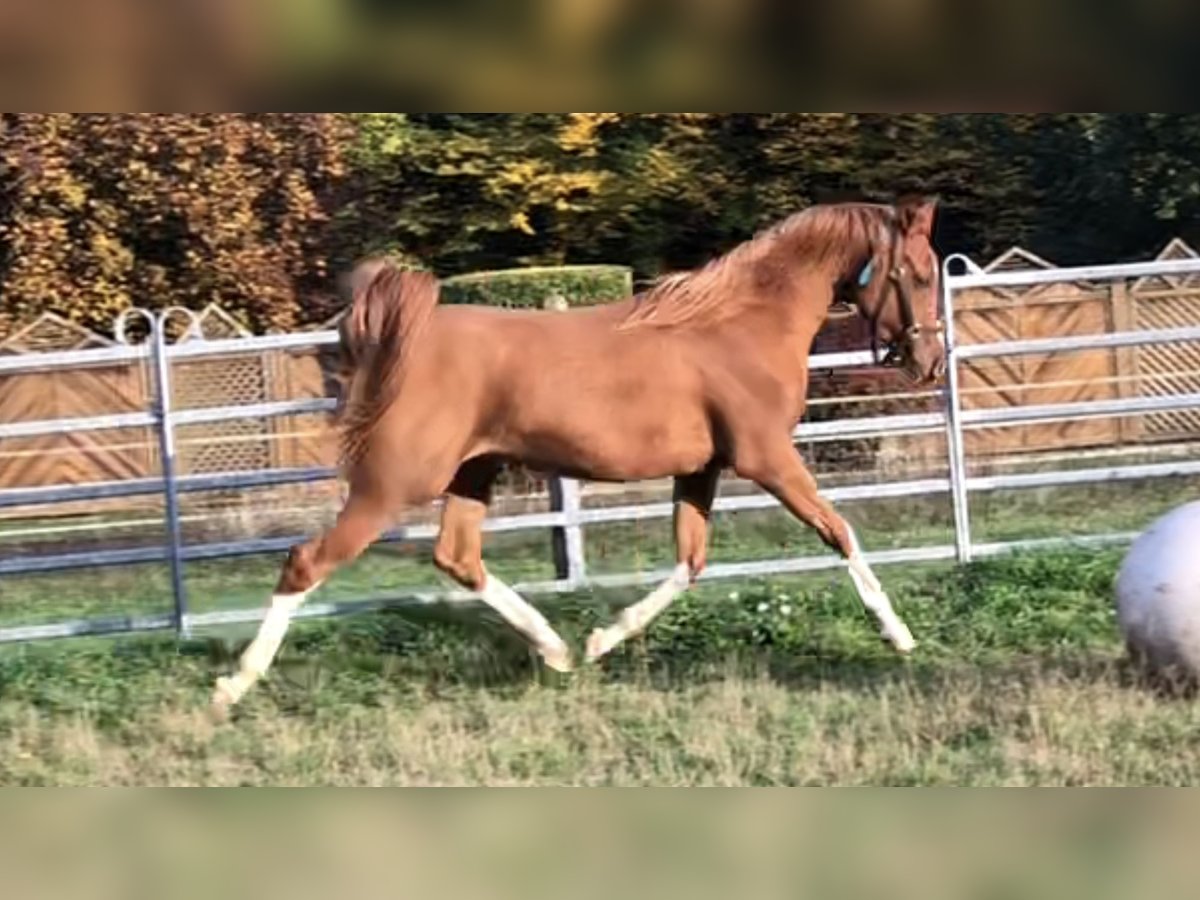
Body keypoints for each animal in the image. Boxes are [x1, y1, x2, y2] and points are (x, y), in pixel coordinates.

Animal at [213, 195, 945, 710]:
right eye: (916, 274)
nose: (930, 362)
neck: (740, 323)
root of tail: (409, 332)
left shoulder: (700, 470)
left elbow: (690, 563)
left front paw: (599, 640)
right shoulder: (766, 459)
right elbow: (838, 532)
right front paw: (898, 635)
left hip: (473, 473)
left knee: (458, 558)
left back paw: (556, 649)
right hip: (393, 485)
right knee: (306, 562)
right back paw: (234, 685)